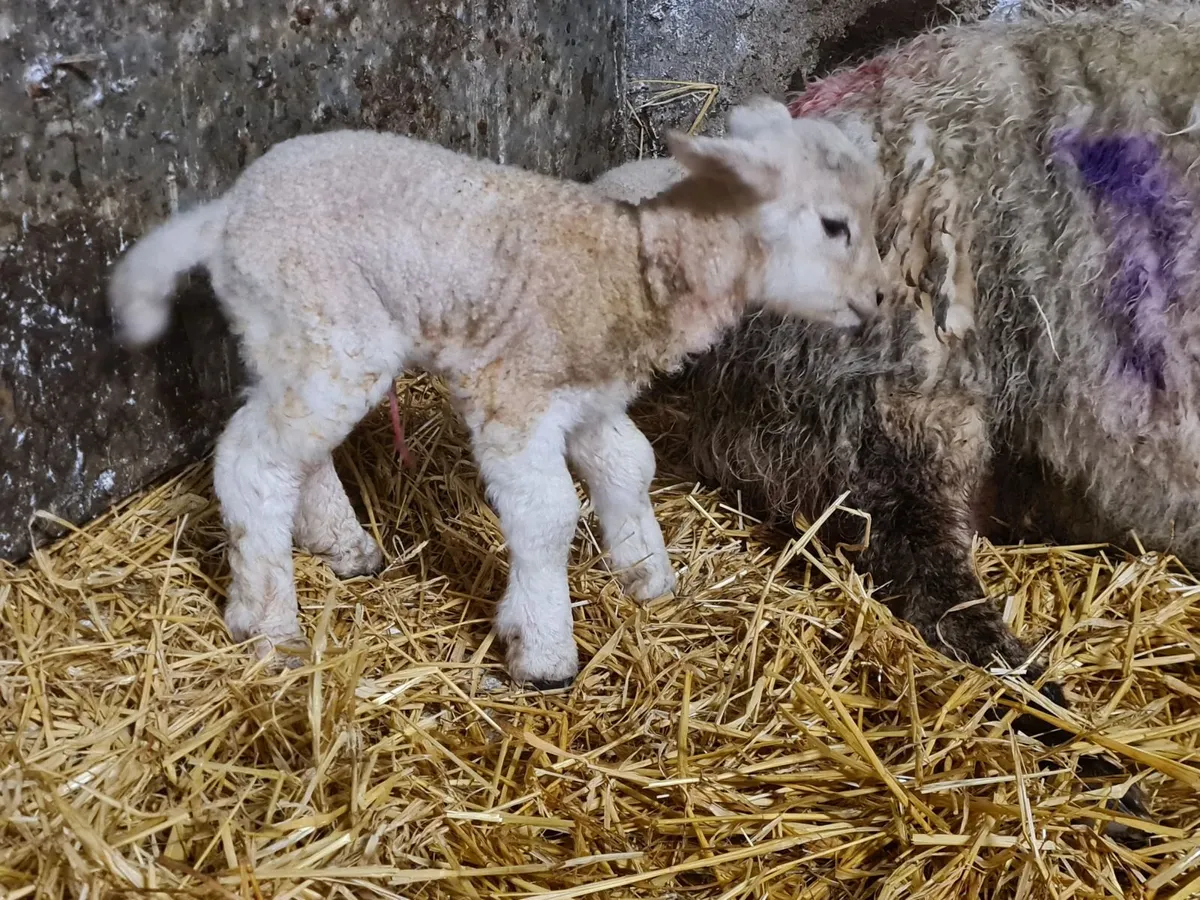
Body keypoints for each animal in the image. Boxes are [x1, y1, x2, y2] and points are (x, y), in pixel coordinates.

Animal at [105, 97, 889, 687]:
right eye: (833, 225)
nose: (881, 298)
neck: (628, 267)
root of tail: (226, 212)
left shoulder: (589, 398)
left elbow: (630, 467)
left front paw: (647, 577)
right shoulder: (513, 395)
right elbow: (548, 515)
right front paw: (542, 650)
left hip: (294, 337)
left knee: (293, 448)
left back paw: (342, 543)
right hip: (328, 327)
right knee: (254, 462)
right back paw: (268, 623)